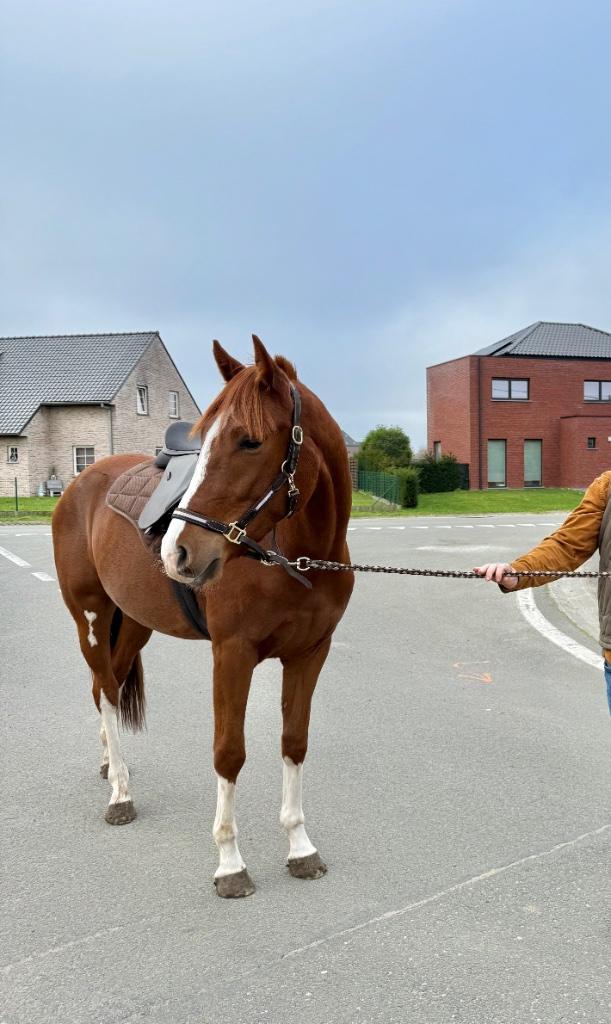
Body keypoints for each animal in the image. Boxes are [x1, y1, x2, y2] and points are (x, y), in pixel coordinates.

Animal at [52, 336, 354, 897]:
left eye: (250, 441)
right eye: (205, 441)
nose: (178, 552)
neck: (295, 558)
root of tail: (79, 483)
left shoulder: (309, 653)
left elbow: (294, 742)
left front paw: (300, 847)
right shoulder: (231, 655)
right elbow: (229, 752)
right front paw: (230, 864)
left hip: (135, 624)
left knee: (107, 684)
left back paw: (110, 763)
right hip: (90, 617)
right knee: (106, 692)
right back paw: (120, 794)